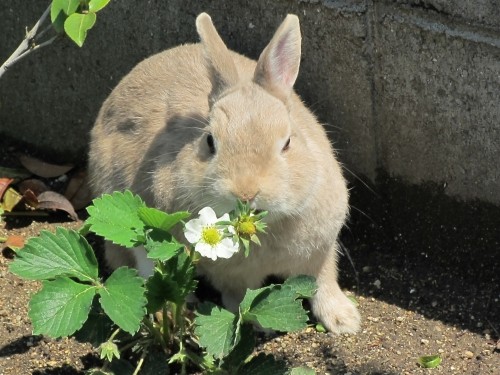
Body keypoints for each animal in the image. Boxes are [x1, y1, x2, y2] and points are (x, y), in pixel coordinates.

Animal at [89, 11, 360, 334]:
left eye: (287, 143)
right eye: (209, 141)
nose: (246, 191)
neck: (266, 230)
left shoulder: (321, 252)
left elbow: (323, 282)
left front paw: (344, 321)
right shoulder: (229, 275)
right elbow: (241, 296)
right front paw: (260, 324)